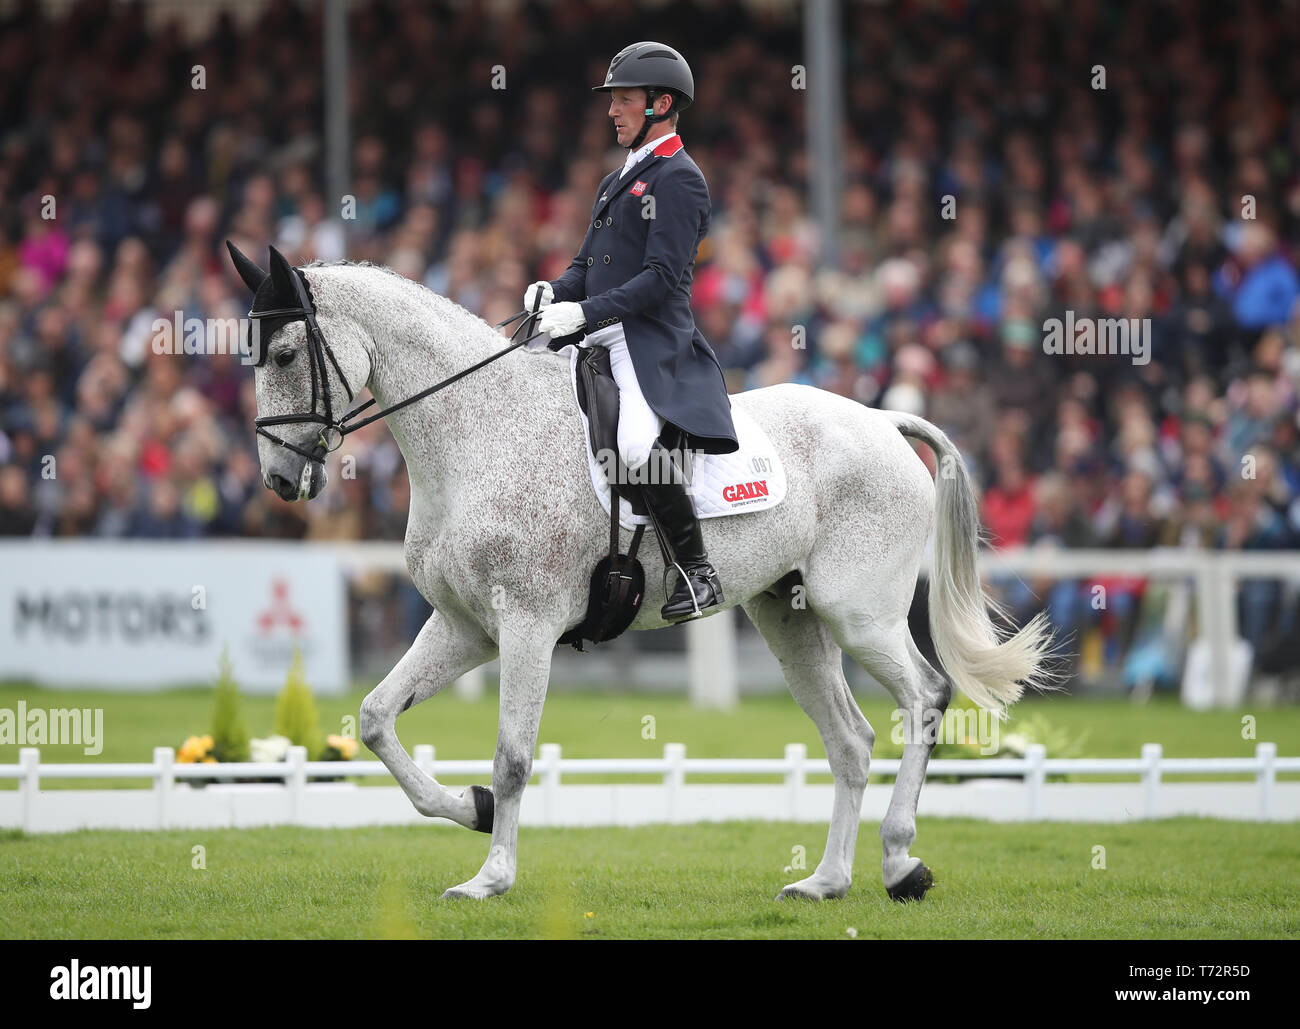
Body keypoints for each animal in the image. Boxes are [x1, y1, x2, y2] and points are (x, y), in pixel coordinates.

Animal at [231, 246, 1055, 899]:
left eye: (284, 355)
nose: (277, 480)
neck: (478, 431)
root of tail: (882, 420)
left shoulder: (527, 624)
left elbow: (513, 757)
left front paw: (490, 877)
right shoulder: (466, 626)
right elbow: (375, 719)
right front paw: (471, 808)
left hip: (860, 612)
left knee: (925, 697)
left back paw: (899, 862)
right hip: (789, 616)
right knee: (851, 740)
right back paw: (825, 881)